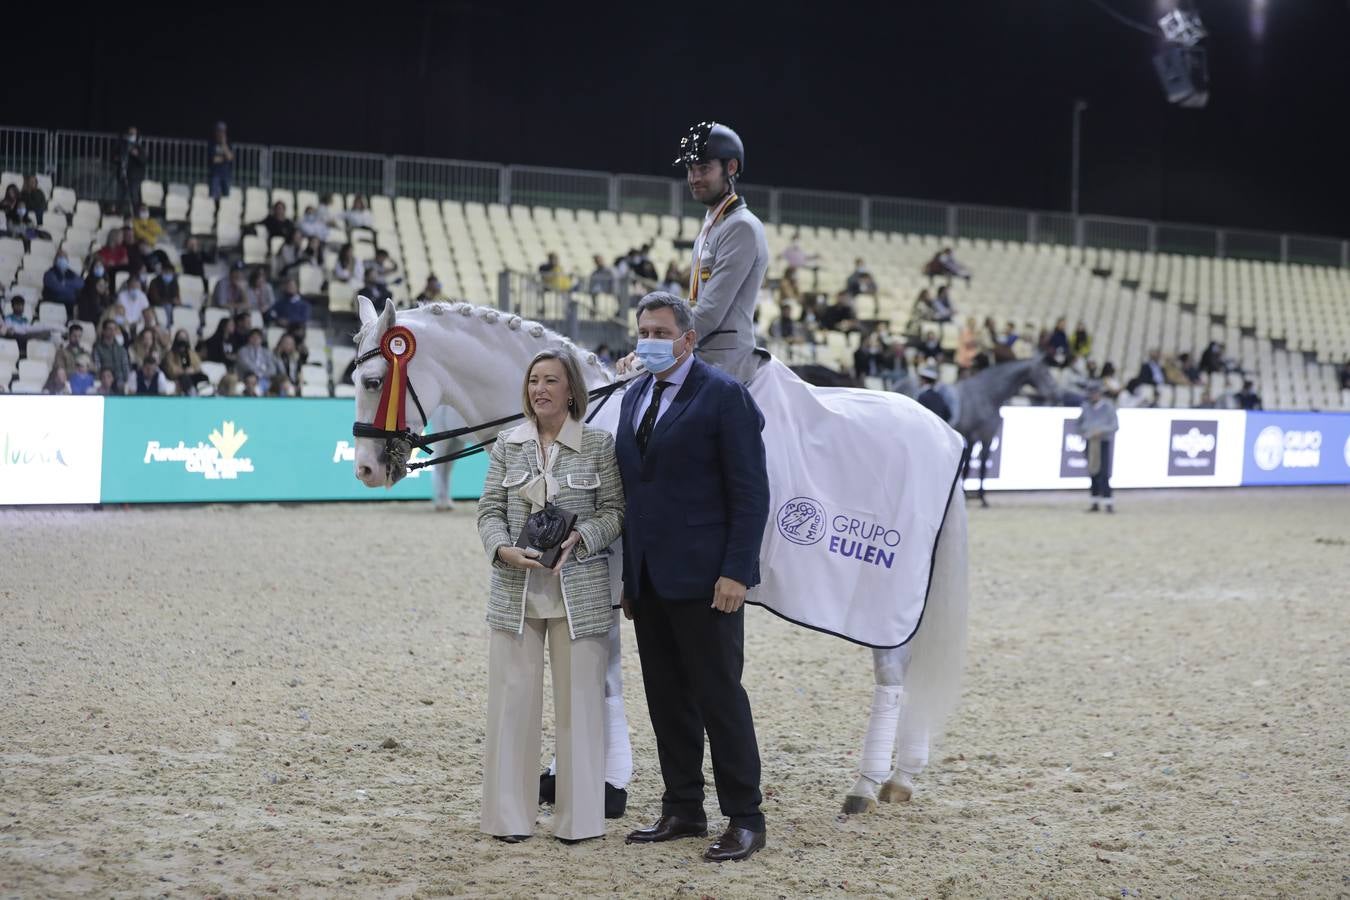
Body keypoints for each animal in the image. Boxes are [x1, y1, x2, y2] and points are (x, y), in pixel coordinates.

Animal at [353, 299, 966, 814]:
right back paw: (902, 775)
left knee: (893, 669)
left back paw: (866, 784)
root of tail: (941, 430)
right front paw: (564, 776)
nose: (365, 468)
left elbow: (601, 679)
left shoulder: (603, 580)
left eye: (373, 379)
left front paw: (605, 784)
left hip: (877, 597)